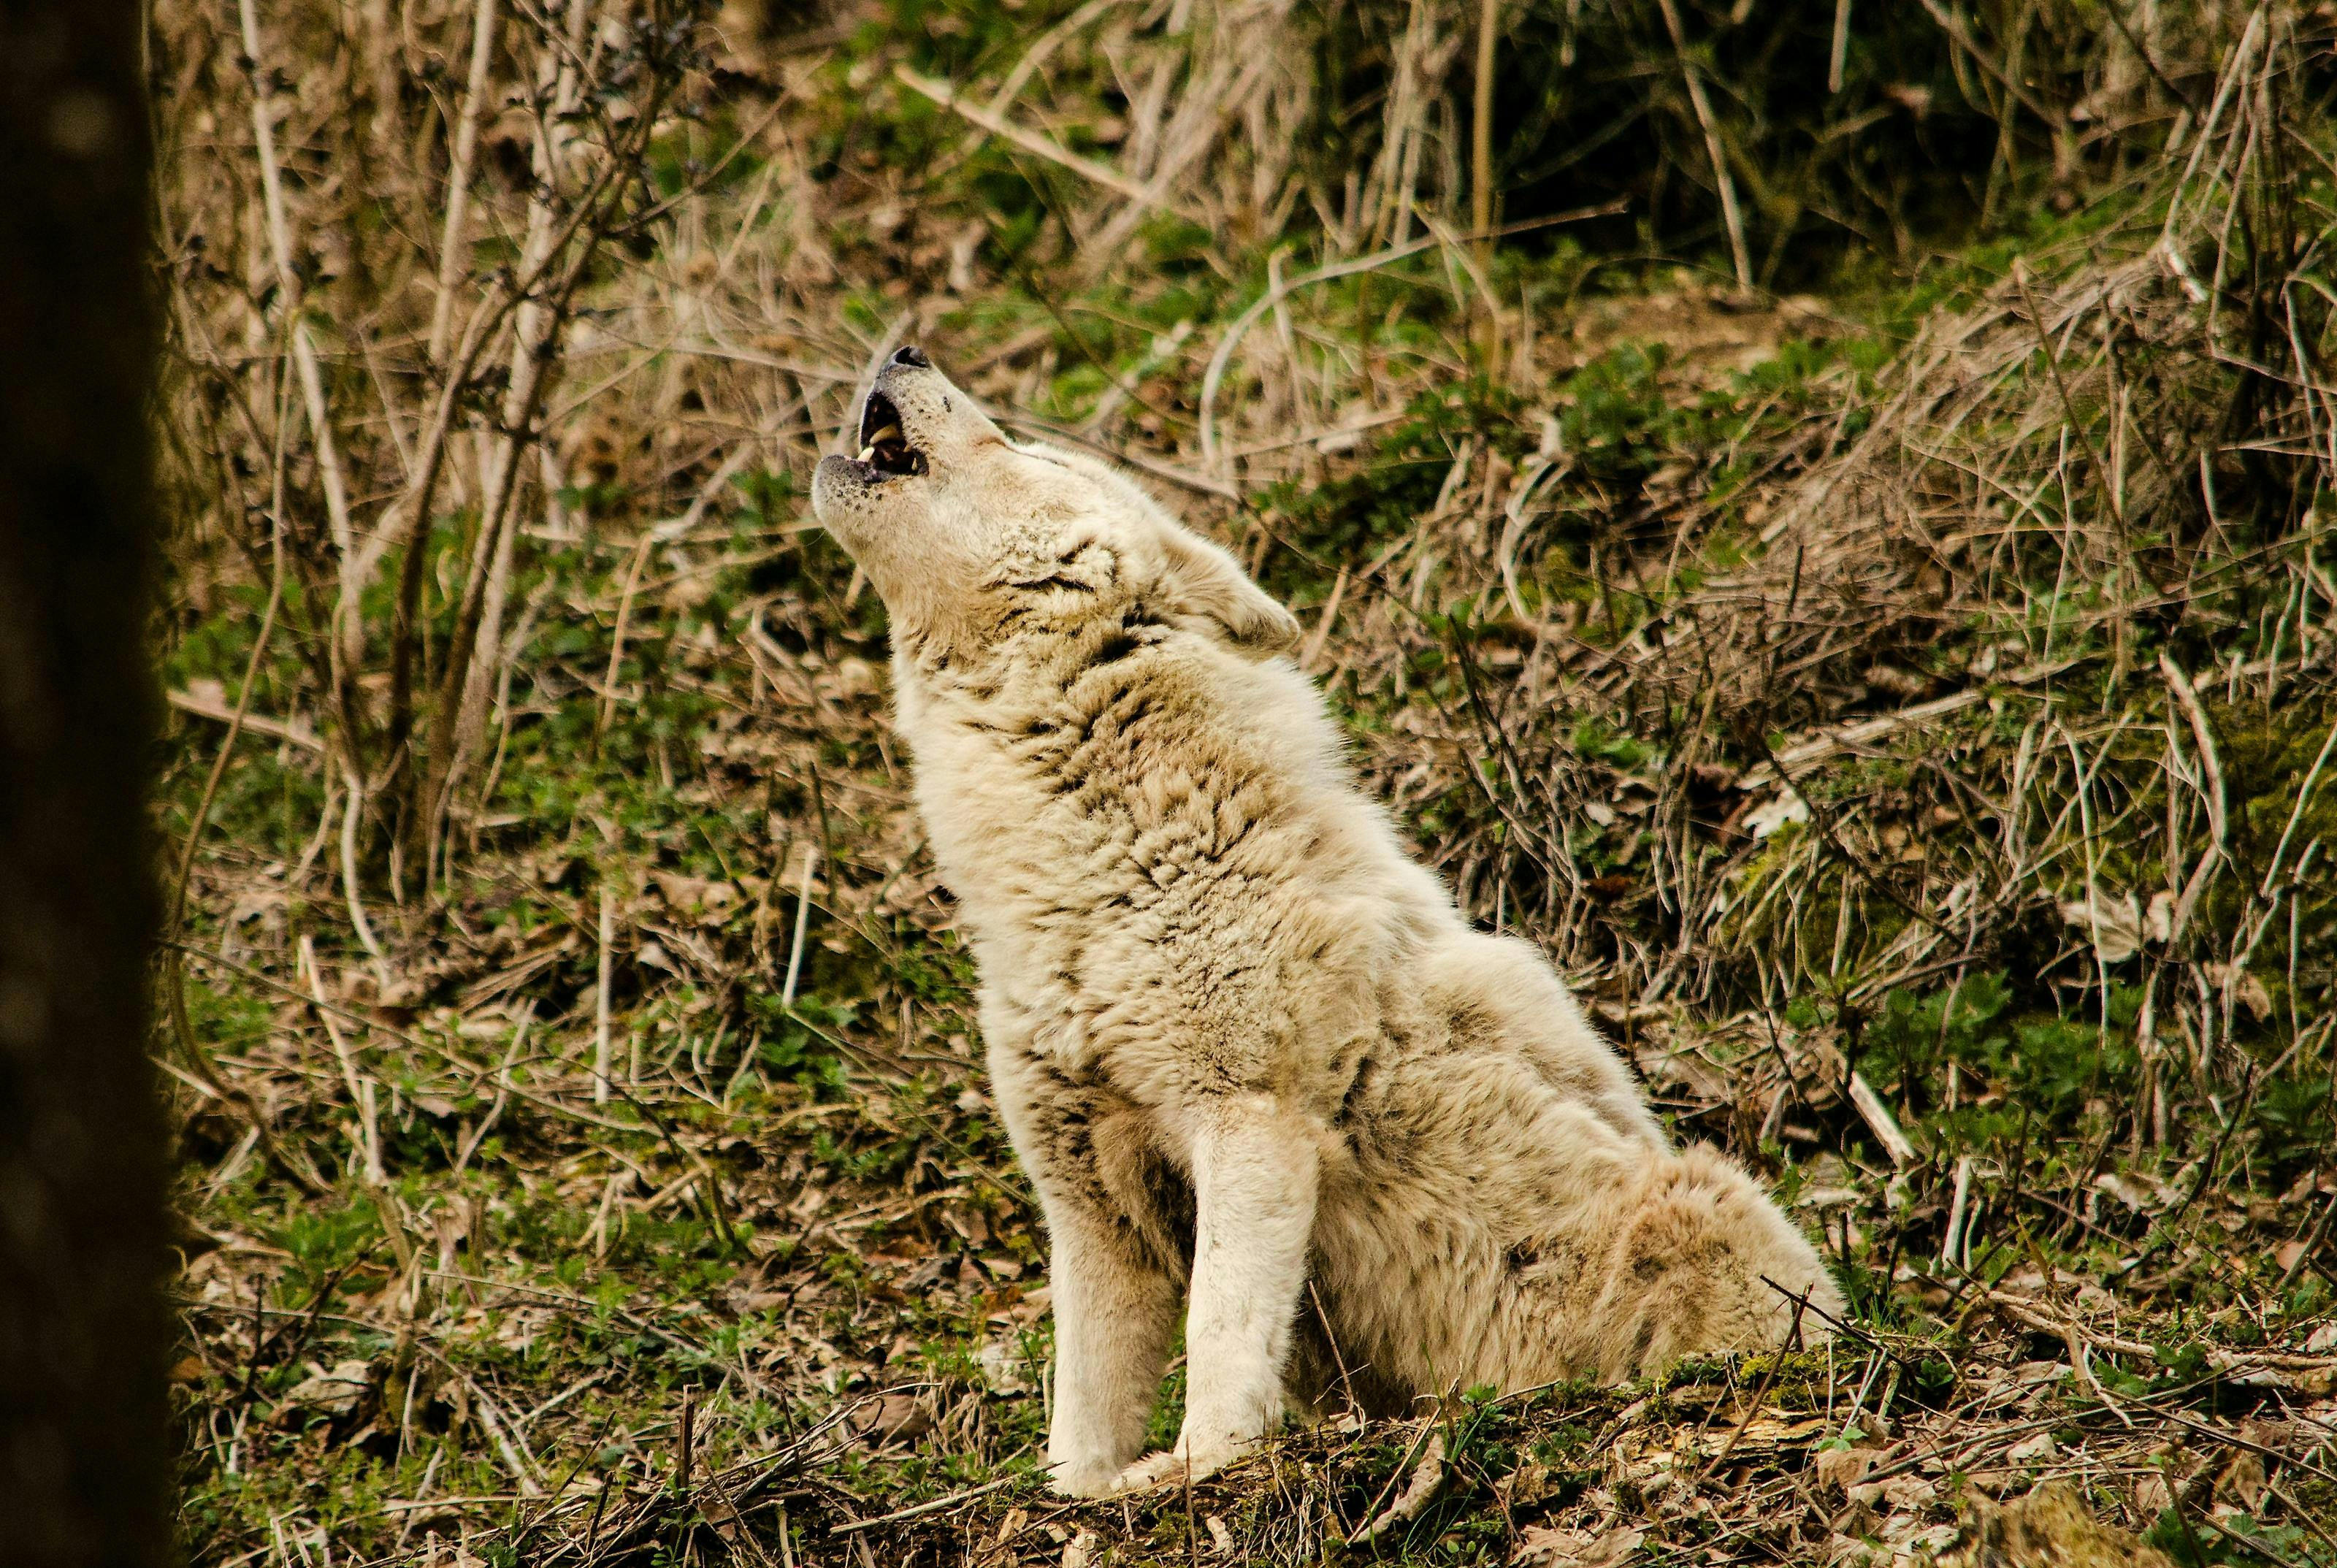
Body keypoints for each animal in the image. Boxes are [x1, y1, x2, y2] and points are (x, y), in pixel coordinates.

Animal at [813, 350, 1832, 1504]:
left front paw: (1202, 1465)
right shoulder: (1089, 1201)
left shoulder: (1251, 1120)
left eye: (1030, 452)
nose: (903, 352)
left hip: (1700, 1196)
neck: (1096, 862)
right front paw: (1083, 1491)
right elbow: (1079, 1411)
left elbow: (1218, 1336)